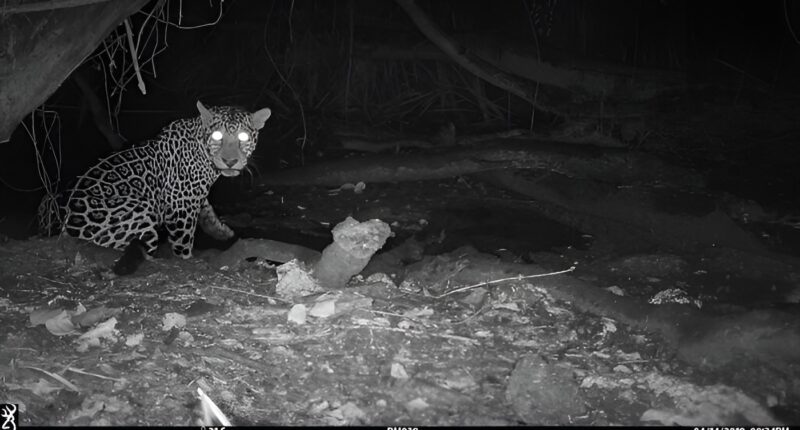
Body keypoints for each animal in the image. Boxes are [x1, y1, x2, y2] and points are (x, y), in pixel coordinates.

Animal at [38, 101, 272, 260]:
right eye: (216, 136)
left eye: (243, 137)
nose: (230, 161)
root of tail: (61, 227)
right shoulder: (181, 206)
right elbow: (184, 239)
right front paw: (186, 257)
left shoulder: (191, 196)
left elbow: (208, 210)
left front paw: (222, 231)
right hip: (140, 214)